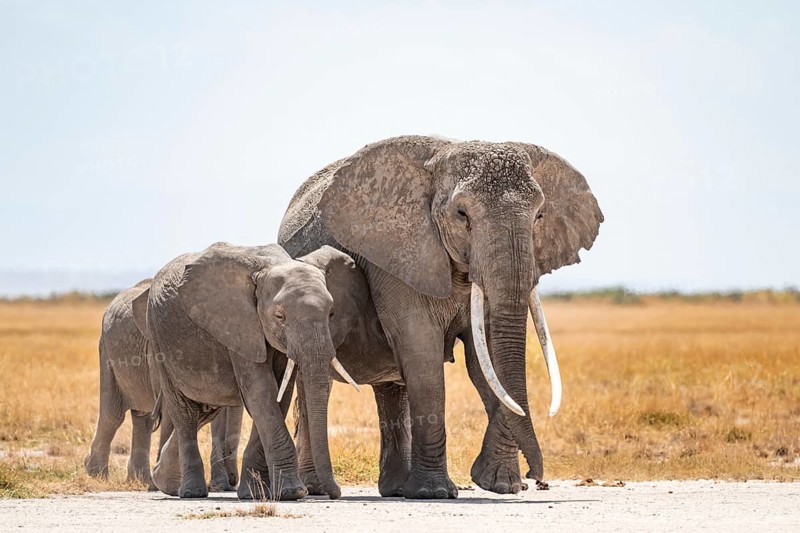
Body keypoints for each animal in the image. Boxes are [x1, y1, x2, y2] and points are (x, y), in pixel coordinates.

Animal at [83, 279, 243, 490]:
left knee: (142, 418)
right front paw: (169, 486)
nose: (233, 481)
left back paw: (140, 479)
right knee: (113, 414)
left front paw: (219, 486)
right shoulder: (159, 350)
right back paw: (97, 475)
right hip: (107, 352)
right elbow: (171, 407)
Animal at [143, 242, 364, 500]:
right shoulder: (239, 325)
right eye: (279, 316)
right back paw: (191, 492)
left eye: (331, 314)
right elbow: (262, 392)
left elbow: (278, 395)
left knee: (205, 410)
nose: (335, 493)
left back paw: (163, 480)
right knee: (185, 414)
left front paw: (254, 493)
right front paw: (292, 492)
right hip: (158, 339)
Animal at [278, 135, 603, 498]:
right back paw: (319, 488)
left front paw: (501, 484)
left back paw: (396, 489)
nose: (537, 477)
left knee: (392, 385)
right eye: (461, 213)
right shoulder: (398, 254)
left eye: (539, 215)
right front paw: (434, 492)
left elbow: (485, 360)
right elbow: (423, 353)